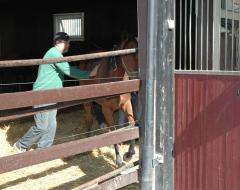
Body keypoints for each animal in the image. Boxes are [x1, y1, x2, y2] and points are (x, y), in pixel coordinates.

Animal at [79, 37, 138, 167]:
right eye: (126, 55)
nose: (136, 79)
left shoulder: (126, 104)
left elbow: (132, 125)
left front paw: (129, 153)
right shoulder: (107, 110)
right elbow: (114, 131)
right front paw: (119, 160)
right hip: (87, 102)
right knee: (89, 118)